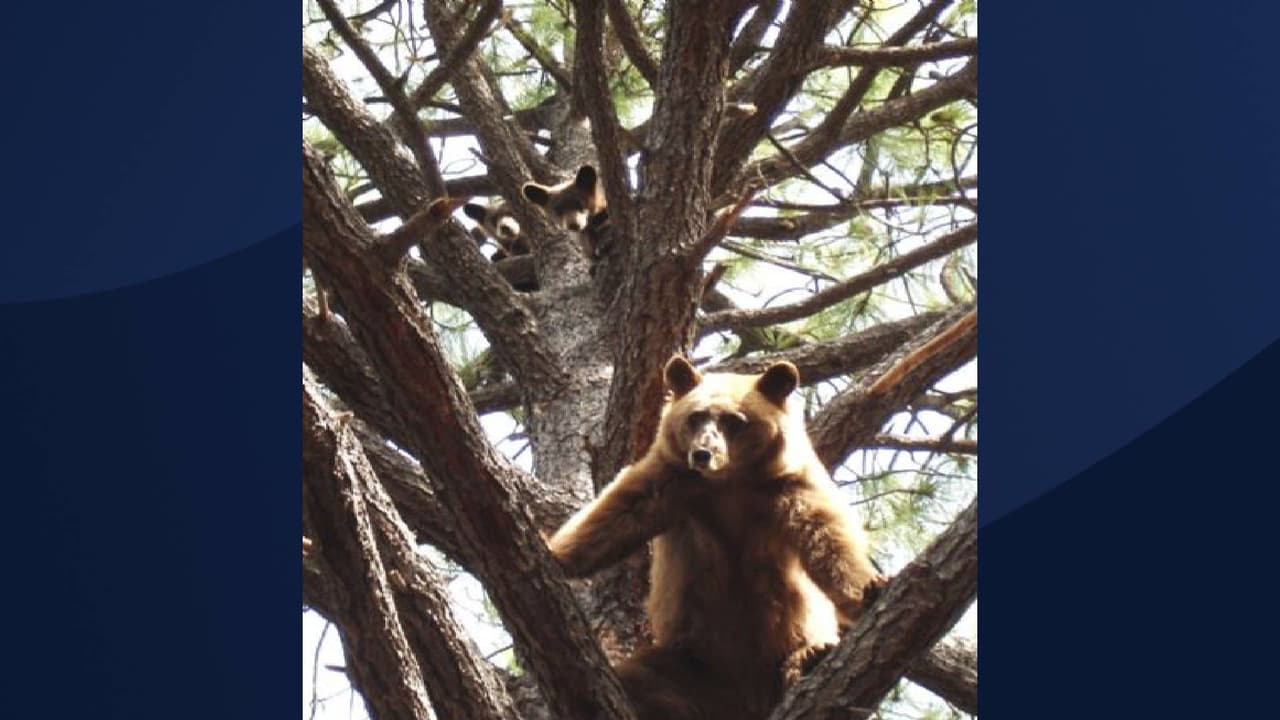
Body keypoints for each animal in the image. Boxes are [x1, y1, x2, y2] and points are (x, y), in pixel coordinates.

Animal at [548, 356, 885, 720]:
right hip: (687, 663)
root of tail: (745, 703)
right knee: (638, 680)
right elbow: (615, 513)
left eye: (734, 421)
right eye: (695, 417)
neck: (729, 483)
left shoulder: (788, 486)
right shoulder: (672, 480)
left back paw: (809, 658)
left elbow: (827, 538)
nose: (703, 453)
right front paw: (555, 553)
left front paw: (872, 586)